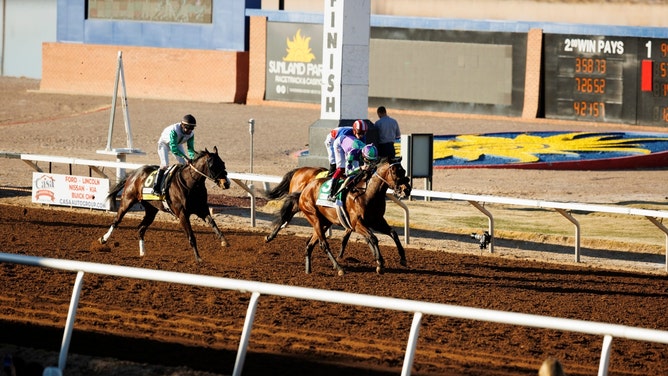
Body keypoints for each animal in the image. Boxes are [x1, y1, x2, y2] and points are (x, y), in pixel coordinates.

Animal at [98, 145, 231, 262]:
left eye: (223, 163)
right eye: (212, 165)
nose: (226, 183)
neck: (190, 184)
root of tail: (134, 173)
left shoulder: (201, 209)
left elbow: (213, 223)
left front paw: (224, 241)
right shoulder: (182, 214)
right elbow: (191, 236)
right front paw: (198, 258)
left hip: (151, 210)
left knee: (141, 228)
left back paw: (143, 252)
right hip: (127, 201)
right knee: (116, 221)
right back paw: (103, 239)